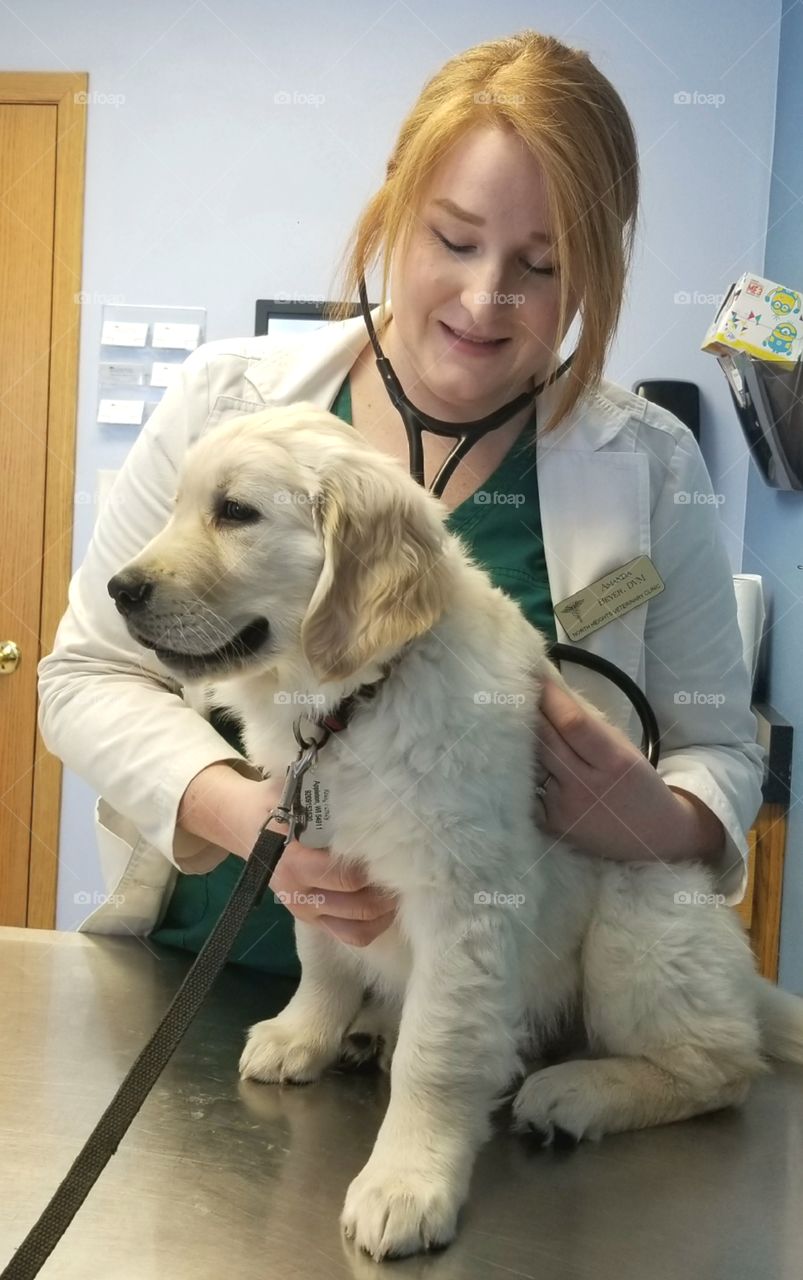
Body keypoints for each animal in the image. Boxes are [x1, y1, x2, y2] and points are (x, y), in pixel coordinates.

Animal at [108, 407, 803, 1259]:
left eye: (236, 512)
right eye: (175, 506)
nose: (118, 589)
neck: (355, 702)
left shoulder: (464, 900)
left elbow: (435, 1053)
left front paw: (406, 1182)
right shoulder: (312, 852)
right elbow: (322, 957)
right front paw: (306, 1031)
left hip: (641, 919)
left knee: (723, 1066)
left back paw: (578, 1090)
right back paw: (372, 1030)